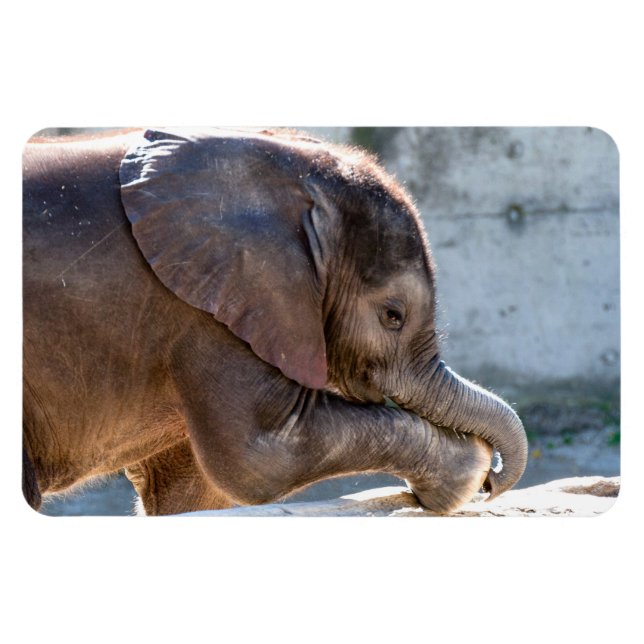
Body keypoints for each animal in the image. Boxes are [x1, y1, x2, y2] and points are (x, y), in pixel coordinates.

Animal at [22, 127, 528, 516]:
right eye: (393, 316)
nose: (493, 484)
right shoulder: (204, 308)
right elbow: (263, 456)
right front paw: (467, 472)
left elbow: (192, 490)